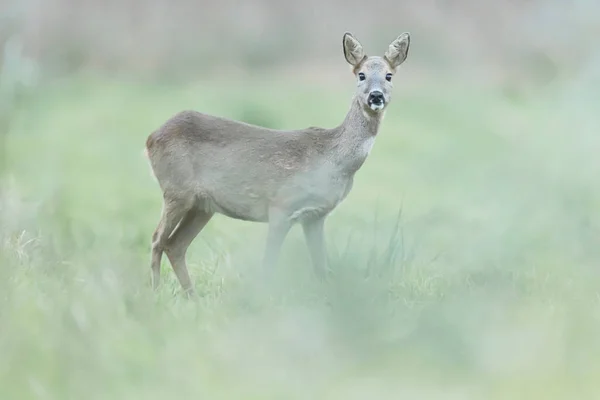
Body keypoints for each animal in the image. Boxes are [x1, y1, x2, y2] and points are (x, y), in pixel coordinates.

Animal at [145, 31, 410, 296]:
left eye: (389, 75)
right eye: (361, 74)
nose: (376, 96)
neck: (332, 159)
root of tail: (151, 137)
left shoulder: (315, 215)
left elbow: (321, 267)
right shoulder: (281, 205)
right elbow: (268, 264)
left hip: (202, 206)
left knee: (175, 245)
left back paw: (191, 296)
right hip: (176, 190)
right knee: (158, 238)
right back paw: (155, 292)